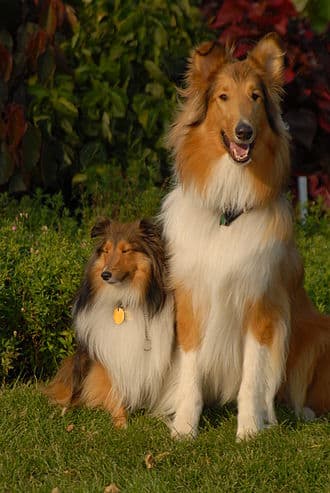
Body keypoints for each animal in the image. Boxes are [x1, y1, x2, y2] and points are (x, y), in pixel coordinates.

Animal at [44, 217, 174, 424]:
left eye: (126, 250)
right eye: (106, 251)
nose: (105, 275)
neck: (123, 298)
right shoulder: (108, 351)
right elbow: (114, 388)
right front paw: (120, 421)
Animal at [161, 33, 328, 438]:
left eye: (255, 96)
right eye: (223, 96)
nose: (244, 132)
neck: (229, 206)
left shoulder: (262, 303)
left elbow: (253, 377)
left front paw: (250, 429)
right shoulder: (192, 300)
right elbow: (191, 371)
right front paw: (185, 427)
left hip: (317, 332)